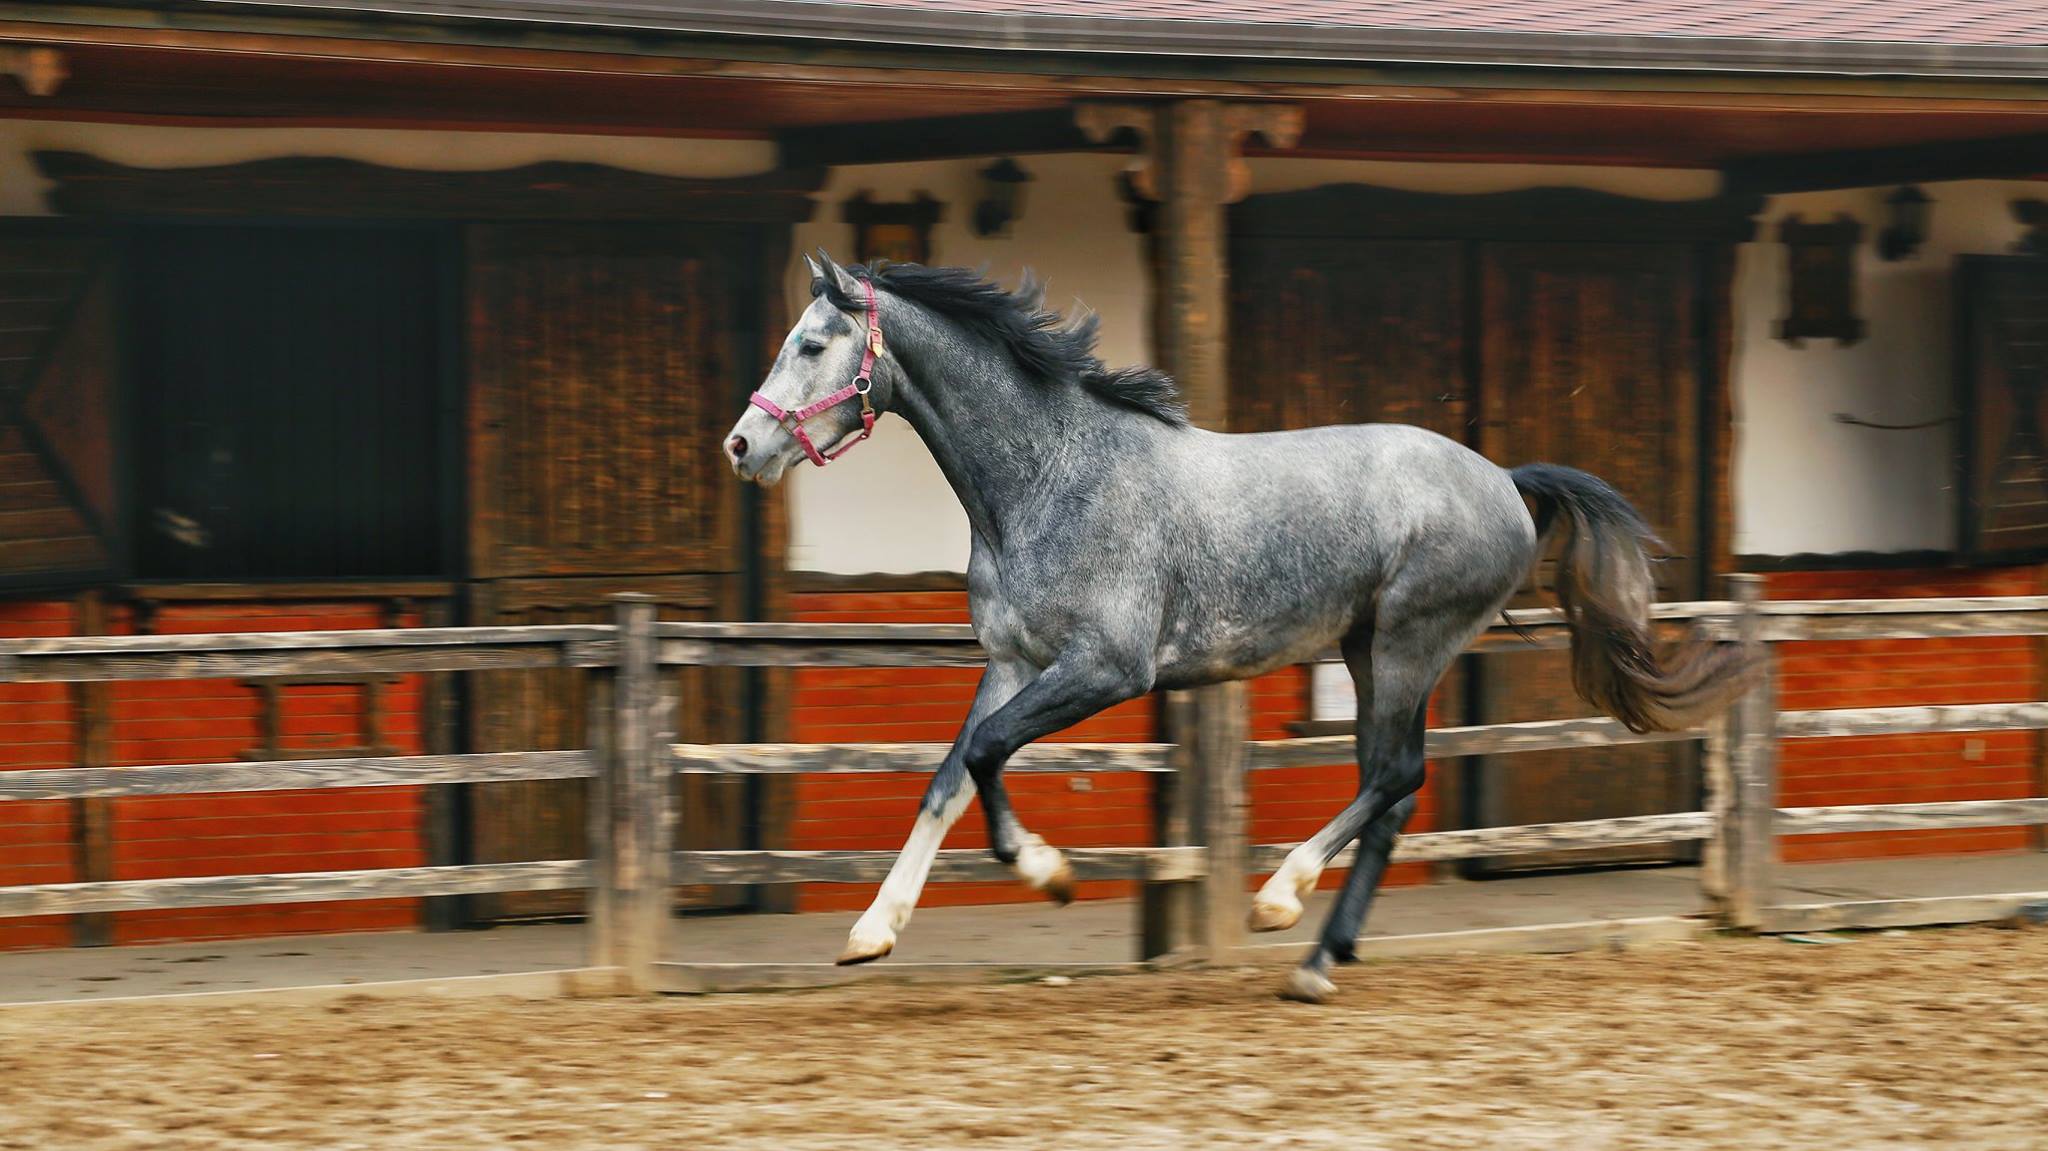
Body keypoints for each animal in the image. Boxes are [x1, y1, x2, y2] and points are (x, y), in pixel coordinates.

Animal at [723, 251, 1752, 1002]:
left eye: (812, 343)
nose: (742, 443)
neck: (1051, 477)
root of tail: (1505, 479)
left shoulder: (1108, 668)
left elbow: (984, 754)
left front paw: (1049, 872)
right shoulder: (1014, 661)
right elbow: (947, 777)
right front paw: (871, 932)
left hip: (1409, 641)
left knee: (1395, 776)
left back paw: (1279, 903)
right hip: (1370, 649)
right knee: (1394, 790)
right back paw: (1319, 961)